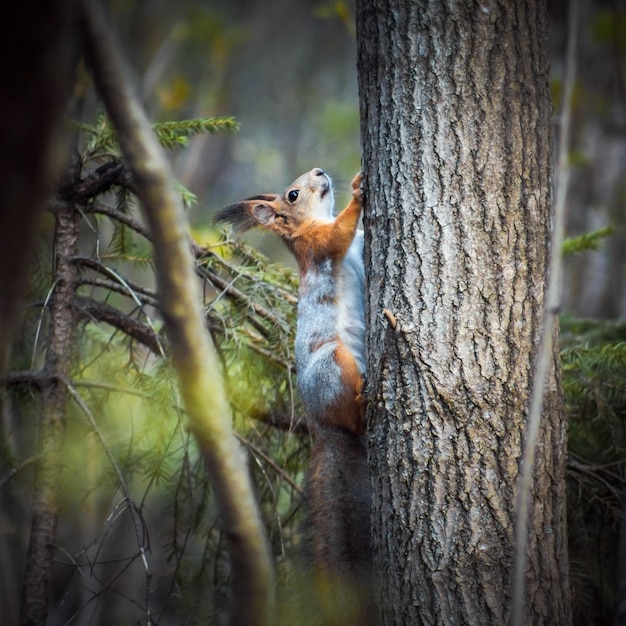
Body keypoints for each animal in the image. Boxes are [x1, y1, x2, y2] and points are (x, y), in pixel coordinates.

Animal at [216, 168, 370, 620]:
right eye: (293, 194)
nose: (320, 172)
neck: (310, 222)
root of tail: (320, 427)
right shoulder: (317, 247)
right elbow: (338, 234)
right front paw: (358, 191)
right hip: (335, 365)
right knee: (352, 414)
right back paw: (365, 401)